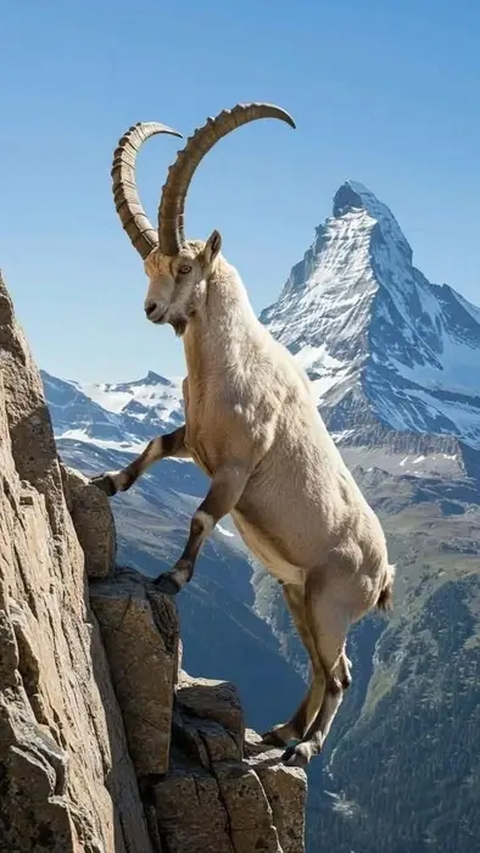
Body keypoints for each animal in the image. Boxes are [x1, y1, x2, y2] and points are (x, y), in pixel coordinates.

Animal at [91, 103, 396, 767]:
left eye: (184, 267)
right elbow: (154, 446)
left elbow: (204, 517)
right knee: (322, 668)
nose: (152, 310)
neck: (227, 366)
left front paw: (171, 579)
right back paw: (283, 731)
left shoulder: (235, 468)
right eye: (149, 266)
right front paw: (105, 483)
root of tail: (384, 572)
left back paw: (304, 749)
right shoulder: (196, 440)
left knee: (340, 675)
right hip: (297, 596)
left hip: (332, 603)